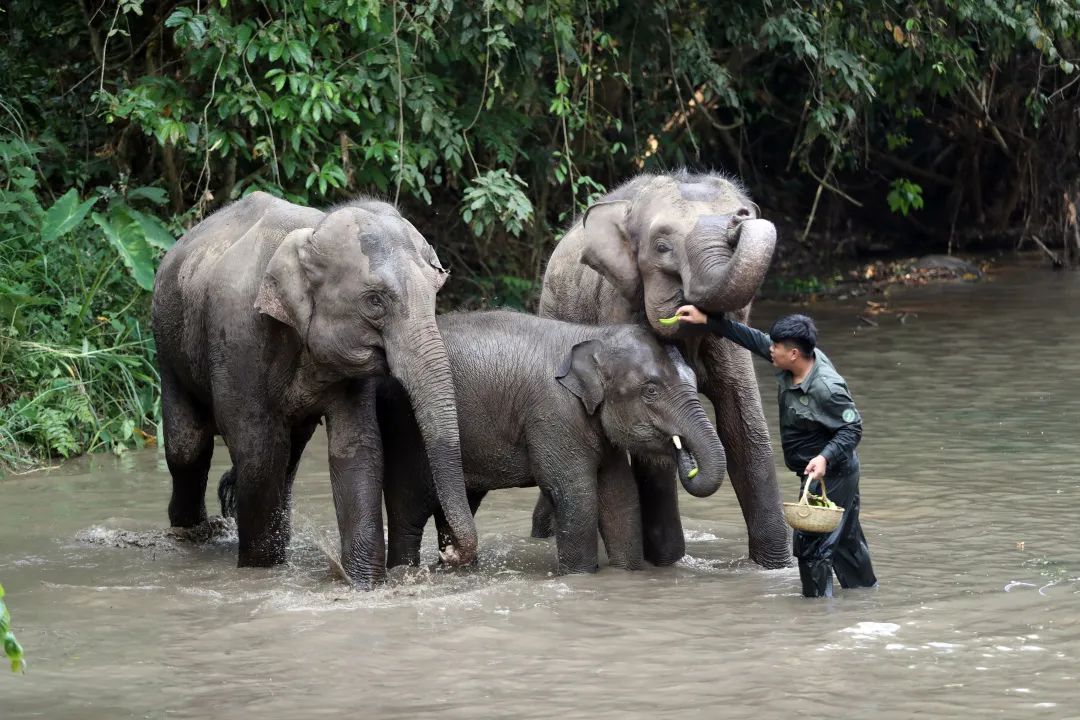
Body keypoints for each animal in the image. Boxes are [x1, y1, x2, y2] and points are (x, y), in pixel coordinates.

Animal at [151, 191, 477, 586]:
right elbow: (258, 452)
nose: (449, 553)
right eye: (374, 301)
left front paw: (363, 584)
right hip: (167, 342)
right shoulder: (238, 338)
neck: (313, 231)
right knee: (188, 447)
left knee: (289, 457)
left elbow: (357, 448)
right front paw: (261, 570)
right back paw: (190, 535)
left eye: (435, 292)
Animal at [378, 310, 726, 574]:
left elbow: (620, 495)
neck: (594, 337)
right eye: (651, 391)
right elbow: (575, 494)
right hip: (404, 429)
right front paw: (581, 576)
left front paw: (627, 572)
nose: (687, 460)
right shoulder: (553, 413)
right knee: (410, 511)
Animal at [535, 170, 792, 569]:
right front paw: (667, 561)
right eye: (661, 246)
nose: (738, 219)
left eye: (744, 213)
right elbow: (652, 450)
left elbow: (743, 428)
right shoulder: (618, 304)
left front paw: (775, 567)